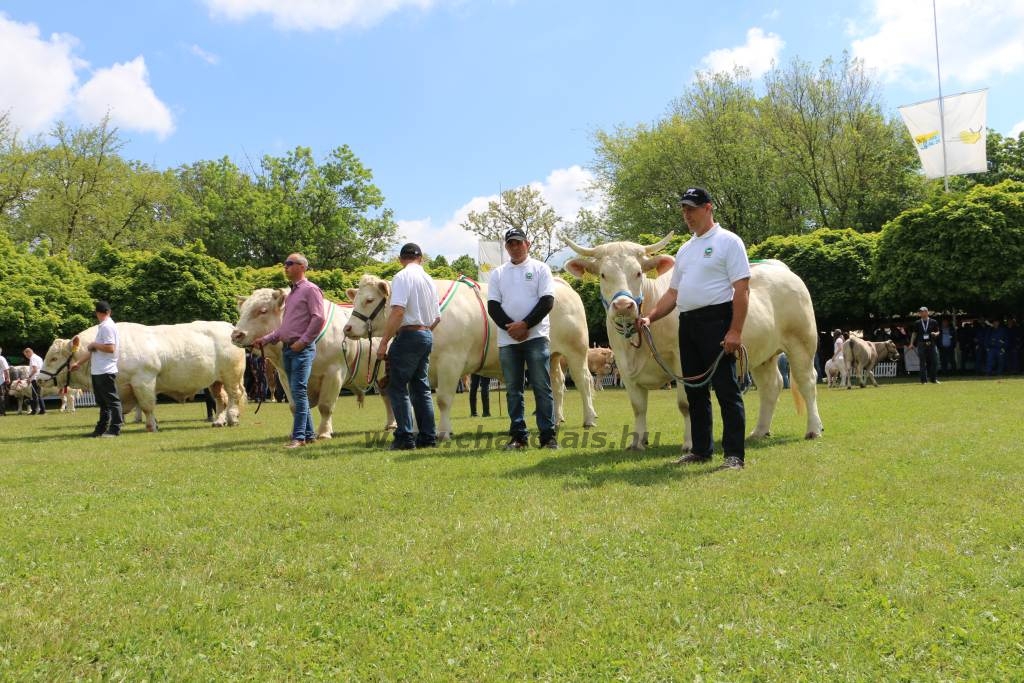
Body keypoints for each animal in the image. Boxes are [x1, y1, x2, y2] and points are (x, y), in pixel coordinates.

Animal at [40, 321, 249, 430]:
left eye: (54, 357)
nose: (39, 379)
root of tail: (228, 327)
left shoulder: (143, 381)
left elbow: (147, 405)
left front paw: (151, 426)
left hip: (232, 375)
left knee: (234, 396)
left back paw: (233, 418)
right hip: (216, 380)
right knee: (221, 398)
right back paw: (219, 421)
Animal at [230, 286, 393, 438]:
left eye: (262, 310)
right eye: (242, 310)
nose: (236, 335)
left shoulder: (334, 373)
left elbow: (325, 406)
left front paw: (324, 433)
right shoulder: (285, 377)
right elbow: (296, 406)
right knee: (387, 397)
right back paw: (391, 424)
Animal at [346, 272, 598, 438]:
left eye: (369, 300)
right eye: (355, 299)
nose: (347, 328)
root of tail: (561, 283)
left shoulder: (451, 362)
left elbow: (443, 399)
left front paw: (444, 432)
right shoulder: (422, 364)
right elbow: (416, 400)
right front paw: (418, 432)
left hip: (576, 350)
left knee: (584, 382)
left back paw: (589, 419)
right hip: (552, 355)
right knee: (557, 386)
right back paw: (556, 421)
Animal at [565, 235, 827, 454]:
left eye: (638, 273)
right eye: (603, 275)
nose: (622, 305)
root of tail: (779, 267)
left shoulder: (682, 362)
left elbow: (686, 404)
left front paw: (690, 443)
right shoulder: (624, 366)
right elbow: (638, 406)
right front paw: (637, 442)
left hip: (802, 342)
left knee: (807, 382)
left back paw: (814, 428)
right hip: (762, 354)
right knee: (771, 386)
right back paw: (759, 431)